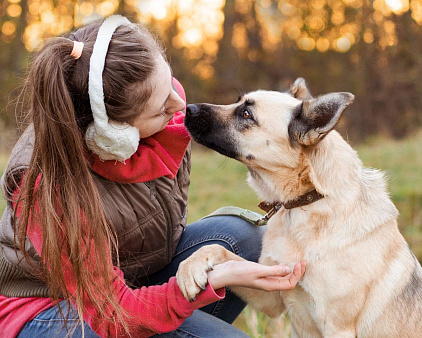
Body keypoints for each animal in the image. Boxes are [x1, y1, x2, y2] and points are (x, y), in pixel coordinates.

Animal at [176, 79, 422, 338]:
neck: (306, 203)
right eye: (238, 102)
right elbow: (218, 249)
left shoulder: (338, 328)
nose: (188, 108)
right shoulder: (271, 292)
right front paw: (189, 268)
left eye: (246, 114)